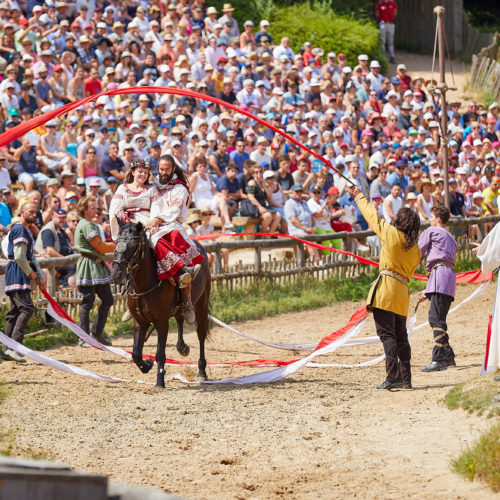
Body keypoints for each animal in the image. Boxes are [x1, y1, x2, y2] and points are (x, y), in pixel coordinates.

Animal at [109, 221, 211, 388]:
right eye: (116, 242)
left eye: (134, 245)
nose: (116, 274)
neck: (144, 285)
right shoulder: (140, 320)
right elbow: (136, 353)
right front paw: (146, 365)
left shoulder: (162, 321)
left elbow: (160, 353)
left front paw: (160, 380)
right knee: (180, 317)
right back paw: (182, 347)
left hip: (202, 302)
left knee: (201, 334)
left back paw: (202, 371)